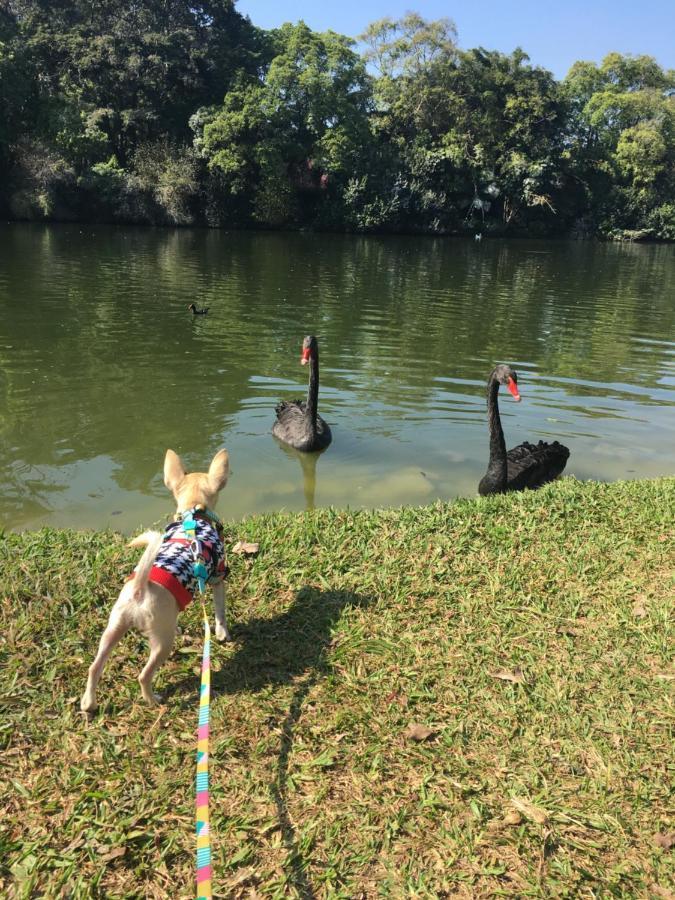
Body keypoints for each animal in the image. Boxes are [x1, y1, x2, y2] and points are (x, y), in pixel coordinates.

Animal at [80, 446, 230, 712]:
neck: (194, 512)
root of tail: (141, 588)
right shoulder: (218, 577)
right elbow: (220, 611)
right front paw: (223, 633)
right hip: (162, 643)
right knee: (143, 675)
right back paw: (153, 700)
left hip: (114, 627)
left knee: (94, 666)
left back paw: (89, 703)